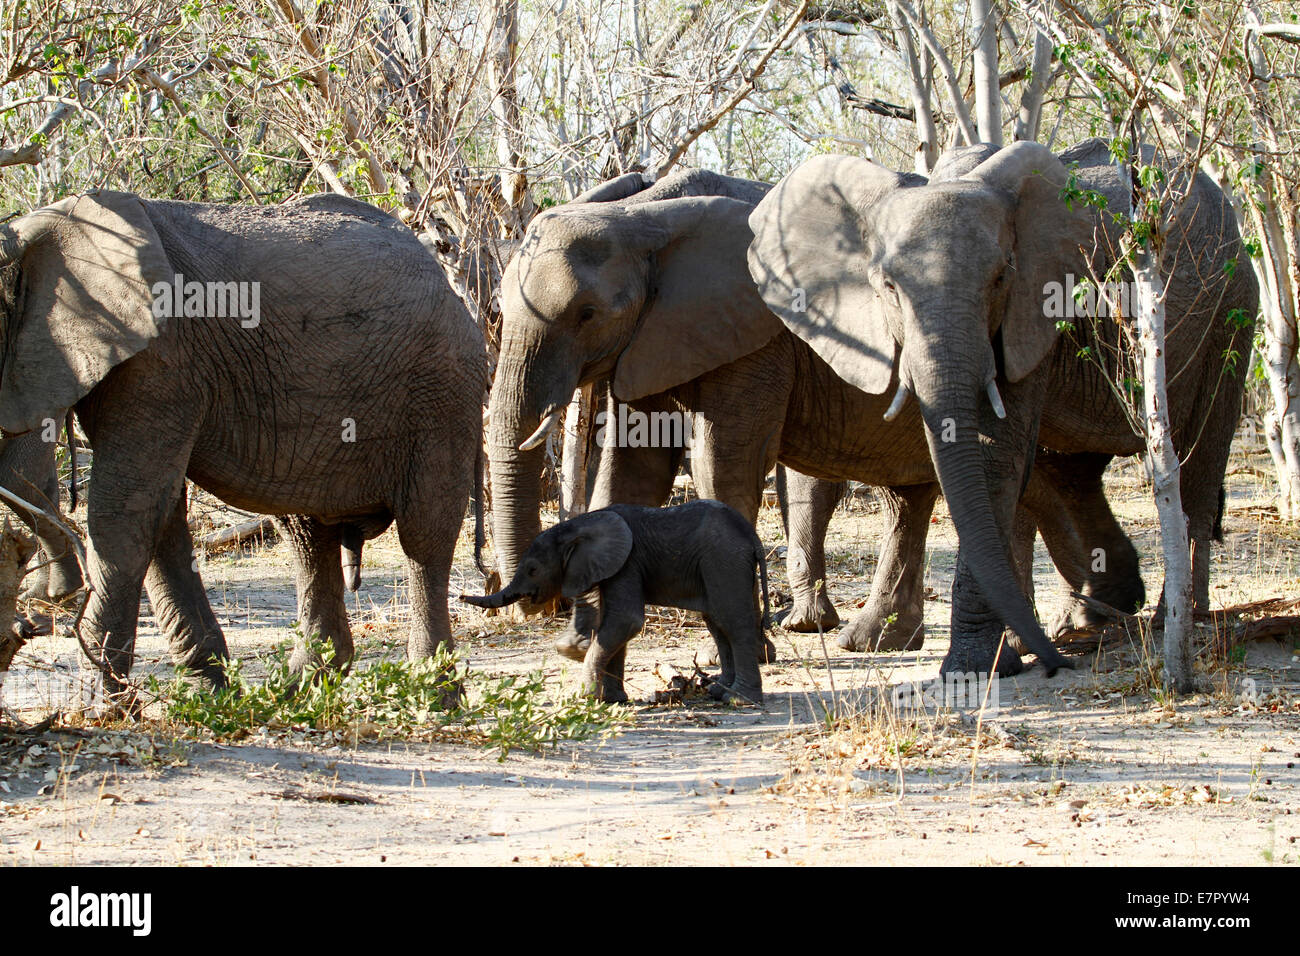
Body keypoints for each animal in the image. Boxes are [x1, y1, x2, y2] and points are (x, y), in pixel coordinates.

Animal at [0, 188, 486, 697]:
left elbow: (127, 510)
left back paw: (434, 695)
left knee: (423, 535)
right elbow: (159, 511)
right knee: (308, 536)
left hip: (442, 391)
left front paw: (101, 702)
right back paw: (294, 692)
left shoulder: (160, 361)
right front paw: (211, 695)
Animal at [748, 140, 1253, 681]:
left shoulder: (1035, 303)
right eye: (887, 286)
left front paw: (978, 667)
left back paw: (1170, 618)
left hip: (1230, 313)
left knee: (1197, 462)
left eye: (999, 277)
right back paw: (1090, 616)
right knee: (1065, 473)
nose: (1056, 667)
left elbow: (997, 457)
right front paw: (1001, 654)